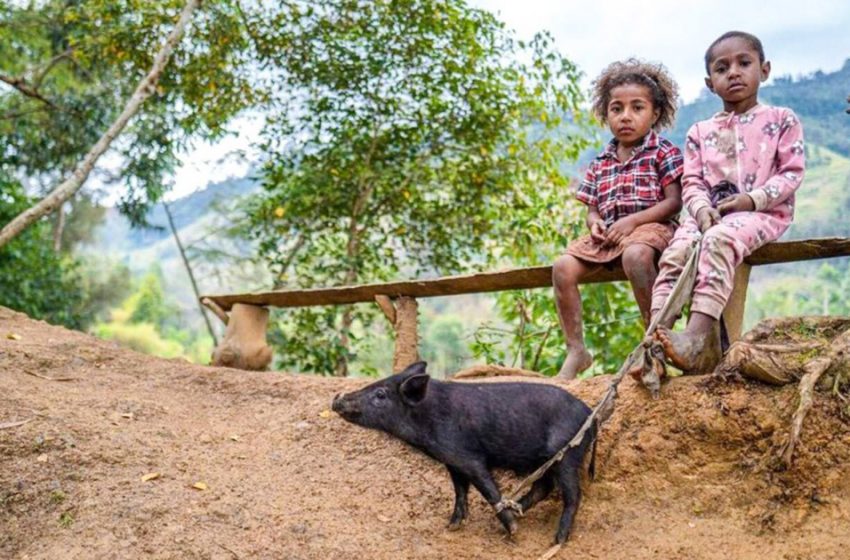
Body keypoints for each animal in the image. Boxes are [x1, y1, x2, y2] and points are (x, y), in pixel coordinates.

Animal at [332, 364, 596, 544]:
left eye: (380, 394)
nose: (338, 398)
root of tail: (590, 414)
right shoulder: (452, 461)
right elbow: (460, 490)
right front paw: (452, 526)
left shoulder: (469, 457)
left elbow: (488, 489)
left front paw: (513, 532)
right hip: (543, 461)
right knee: (544, 487)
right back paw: (519, 511)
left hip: (568, 454)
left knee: (573, 494)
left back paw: (558, 539)